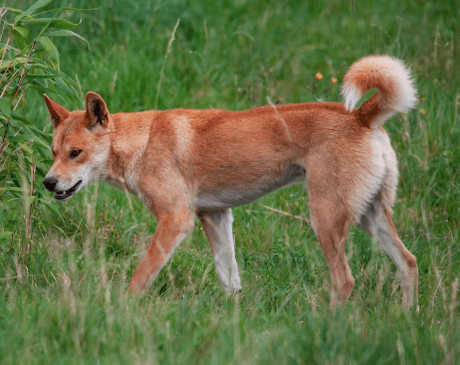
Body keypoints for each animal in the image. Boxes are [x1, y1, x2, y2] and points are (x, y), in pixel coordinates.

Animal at [45, 55, 418, 308]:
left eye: (75, 153)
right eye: (53, 152)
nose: (48, 182)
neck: (143, 142)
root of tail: (362, 116)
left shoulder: (175, 220)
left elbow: (140, 276)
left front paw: (125, 308)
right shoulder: (215, 216)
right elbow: (229, 278)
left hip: (325, 218)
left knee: (345, 280)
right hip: (371, 215)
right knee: (409, 263)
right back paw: (407, 319)